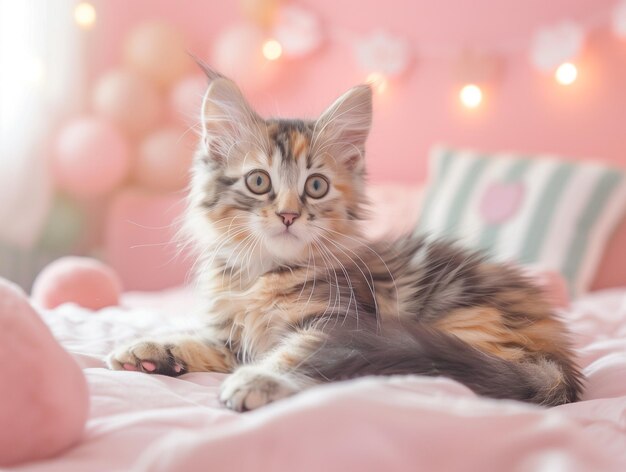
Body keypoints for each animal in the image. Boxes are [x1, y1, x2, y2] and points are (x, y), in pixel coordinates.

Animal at [106, 68, 580, 412]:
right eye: (259, 181)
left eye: (316, 186)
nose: (288, 215)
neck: (262, 274)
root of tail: (561, 364)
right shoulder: (232, 337)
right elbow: (199, 340)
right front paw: (149, 349)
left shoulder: (336, 323)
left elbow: (296, 353)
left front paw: (260, 380)